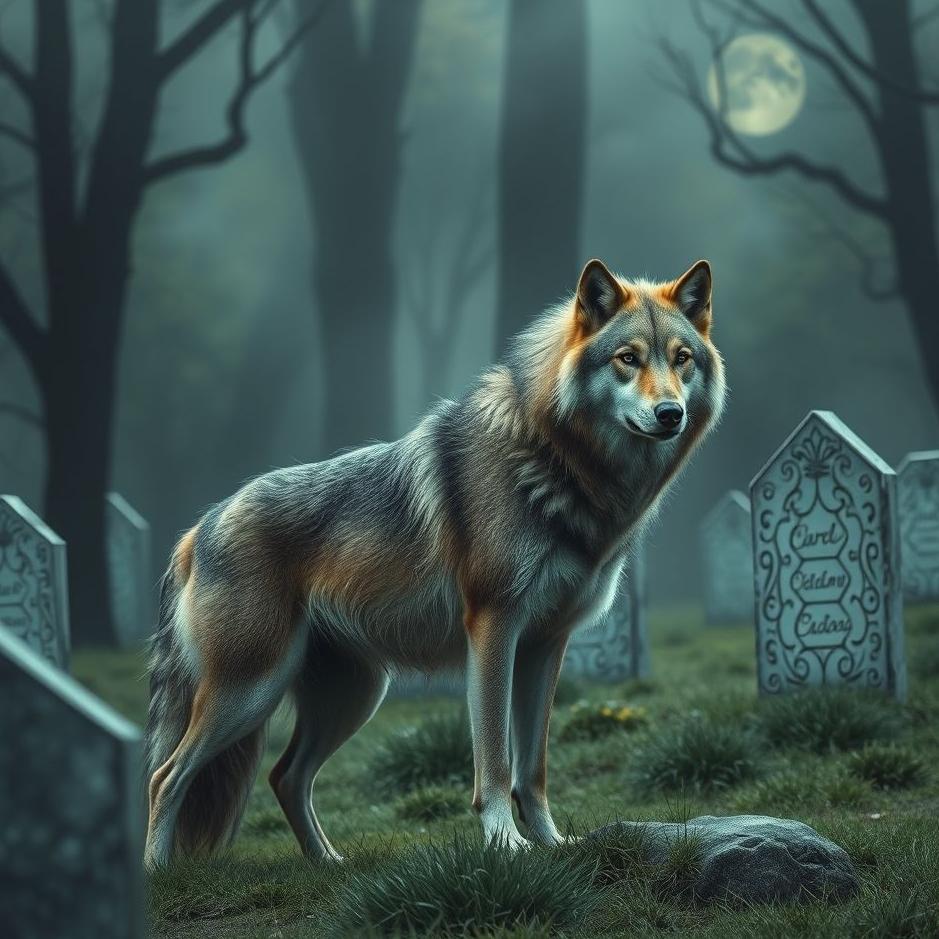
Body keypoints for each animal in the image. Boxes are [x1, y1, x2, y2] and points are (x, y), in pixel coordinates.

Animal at [143, 257, 726, 869]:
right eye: (628, 358)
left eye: (681, 359)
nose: (670, 413)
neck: (556, 462)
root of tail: (197, 530)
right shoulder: (493, 630)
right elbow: (495, 763)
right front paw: (505, 844)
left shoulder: (546, 645)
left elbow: (533, 770)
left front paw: (550, 843)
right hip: (250, 692)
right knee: (166, 776)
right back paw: (160, 872)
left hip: (351, 699)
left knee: (285, 776)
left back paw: (328, 862)